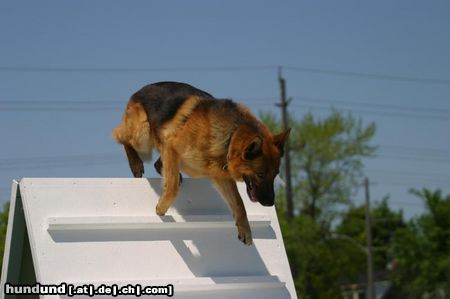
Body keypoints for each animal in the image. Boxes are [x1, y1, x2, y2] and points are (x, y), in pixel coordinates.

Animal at [110, 82, 290, 246]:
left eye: (275, 175)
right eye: (260, 174)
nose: (270, 203)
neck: (230, 138)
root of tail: (139, 91)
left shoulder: (221, 177)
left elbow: (239, 204)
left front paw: (245, 230)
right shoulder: (171, 146)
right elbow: (172, 188)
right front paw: (161, 208)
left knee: (156, 163)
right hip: (143, 134)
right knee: (120, 135)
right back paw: (135, 163)